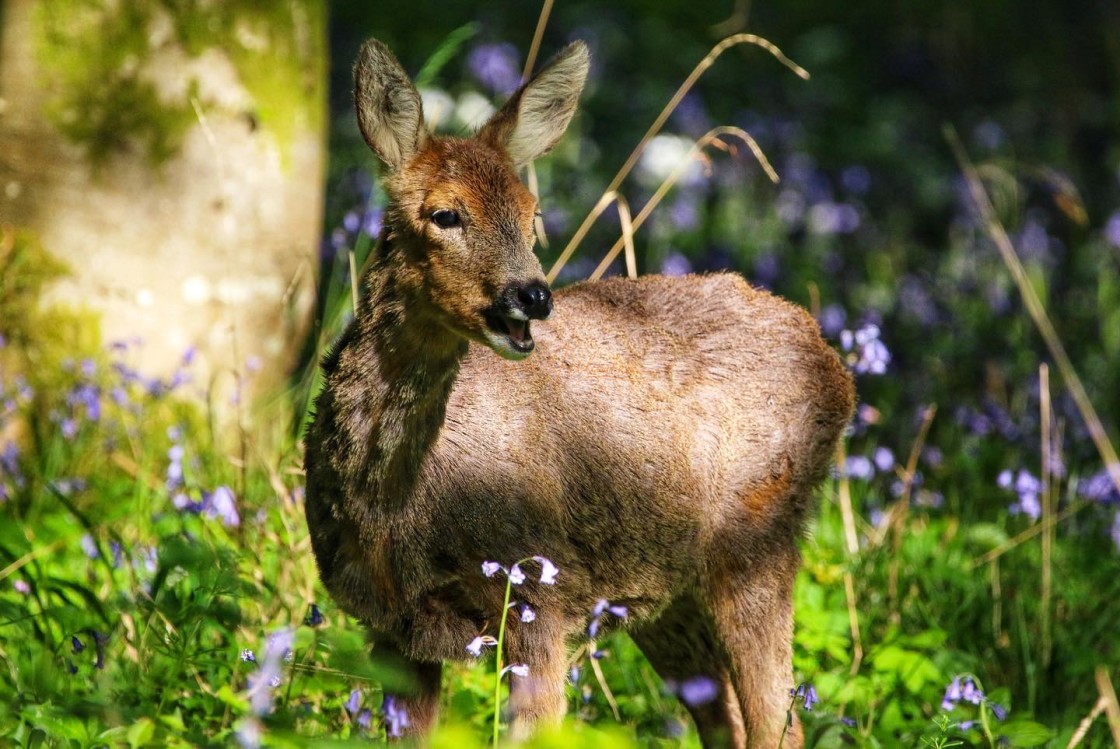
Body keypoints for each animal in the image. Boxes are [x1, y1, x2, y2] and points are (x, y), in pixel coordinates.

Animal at [302, 36, 851, 747]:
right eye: (445, 214)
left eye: (532, 214)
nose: (533, 295)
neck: (396, 509)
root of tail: (836, 364)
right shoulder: (394, 629)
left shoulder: (538, 596)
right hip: (662, 589)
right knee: (726, 717)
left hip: (756, 541)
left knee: (778, 723)